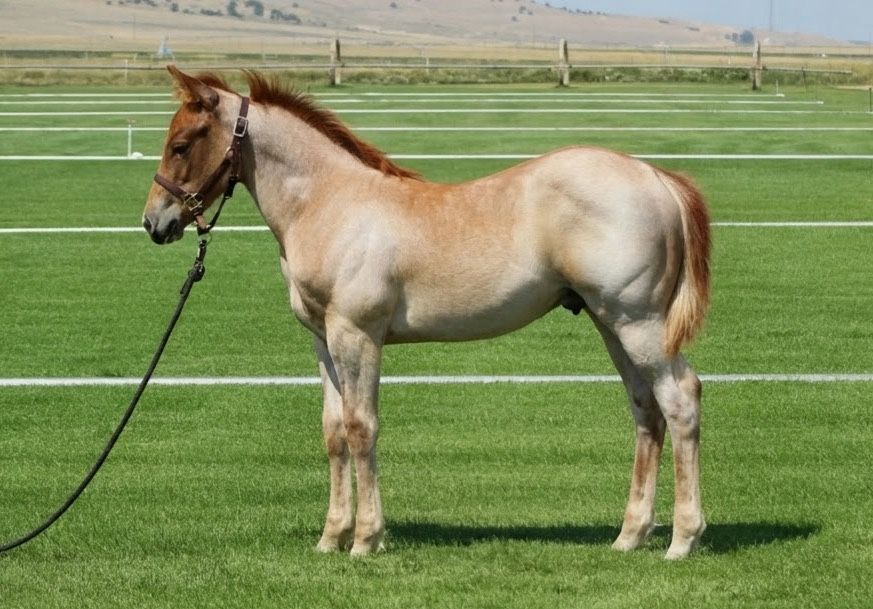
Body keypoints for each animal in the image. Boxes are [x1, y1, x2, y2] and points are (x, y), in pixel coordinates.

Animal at [143, 66, 711, 560]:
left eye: (181, 145)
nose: (154, 222)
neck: (331, 204)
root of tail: (656, 176)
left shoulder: (357, 335)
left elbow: (361, 427)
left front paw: (366, 540)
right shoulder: (322, 340)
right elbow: (333, 433)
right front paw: (331, 538)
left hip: (639, 323)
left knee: (680, 399)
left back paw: (682, 540)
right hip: (609, 323)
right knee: (645, 409)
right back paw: (630, 536)